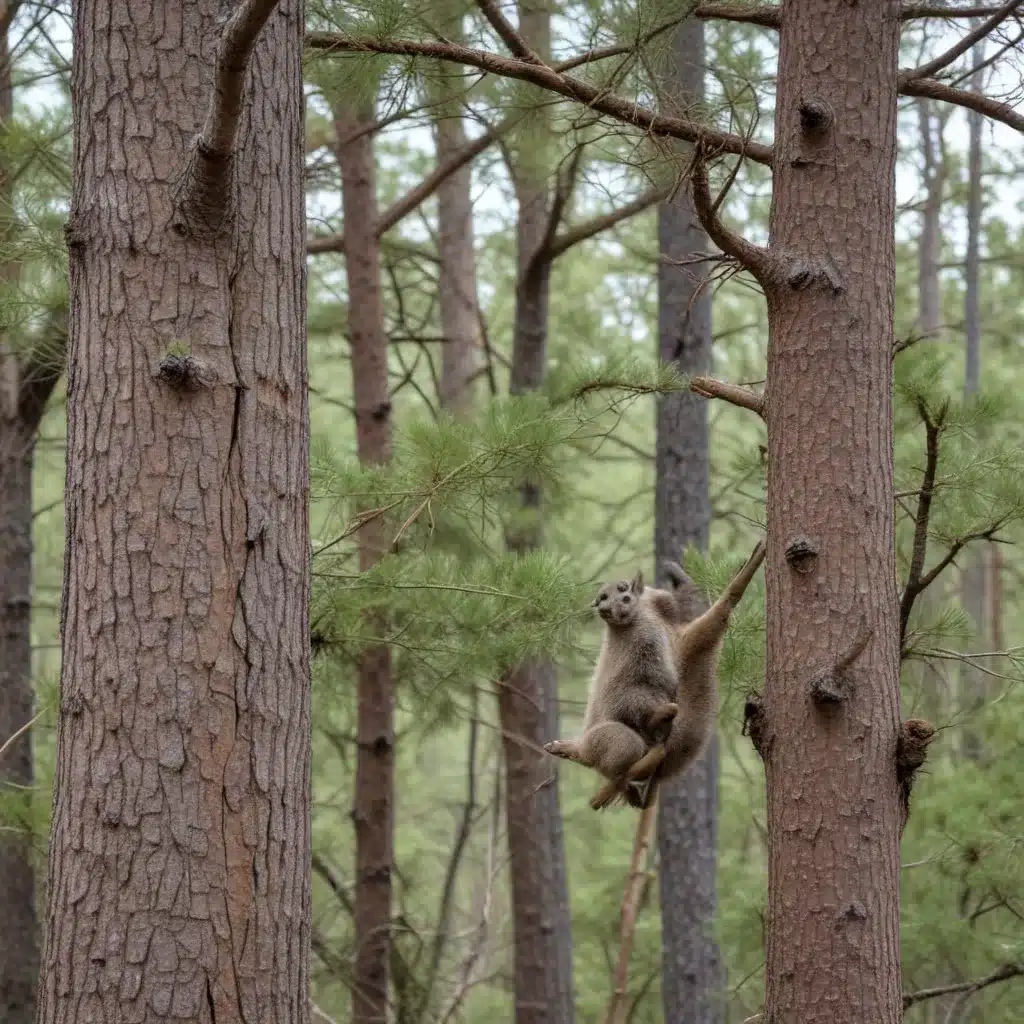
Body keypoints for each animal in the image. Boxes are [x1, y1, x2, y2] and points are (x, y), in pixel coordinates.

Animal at [548, 540, 765, 811]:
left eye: (624, 593)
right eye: (602, 599)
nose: (606, 608)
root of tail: (582, 747)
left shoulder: (670, 616)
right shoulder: (650, 659)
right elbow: (724, 602)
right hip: (616, 740)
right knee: (621, 761)